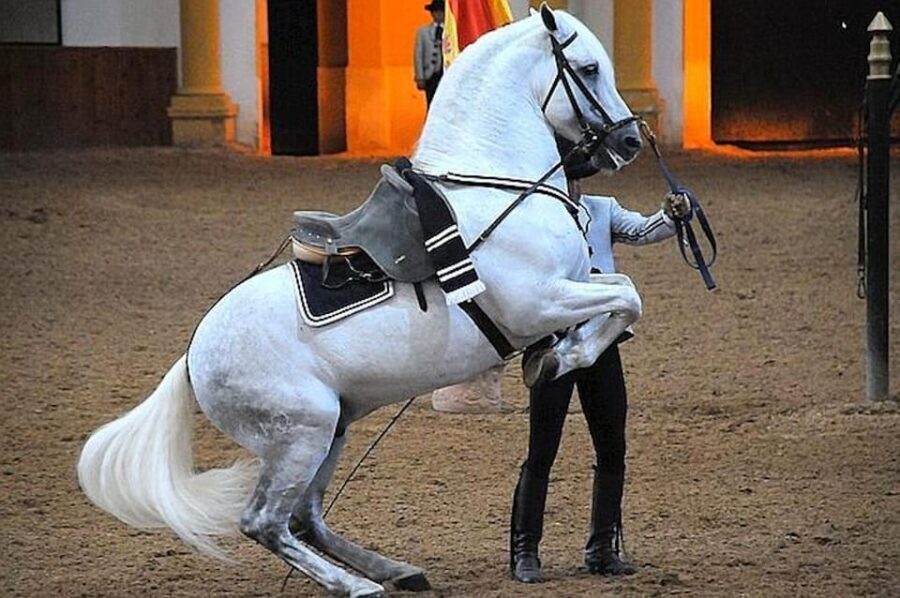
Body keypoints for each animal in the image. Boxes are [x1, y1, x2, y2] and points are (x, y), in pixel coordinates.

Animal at [77, 6, 643, 597]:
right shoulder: (538, 303)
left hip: (334, 430)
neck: (497, 190)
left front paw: (556, 356)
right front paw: (559, 357)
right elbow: (627, 297)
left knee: (305, 518)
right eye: (589, 68)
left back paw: (395, 570)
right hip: (303, 433)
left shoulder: (566, 290)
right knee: (265, 522)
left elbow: (623, 293)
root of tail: (192, 358)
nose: (630, 141)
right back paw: (358, 584)